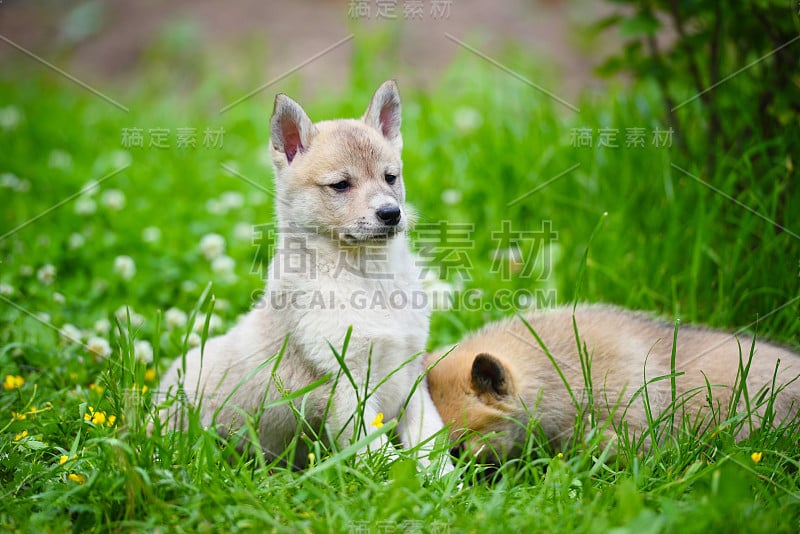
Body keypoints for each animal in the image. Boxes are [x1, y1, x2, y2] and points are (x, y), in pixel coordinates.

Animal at [153, 81, 446, 472]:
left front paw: (452, 482)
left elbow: (432, 445)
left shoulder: (410, 380)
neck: (369, 279)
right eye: (341, 185)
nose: (391, 213)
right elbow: (383, 458)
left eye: (390, 177)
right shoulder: (347, 390)